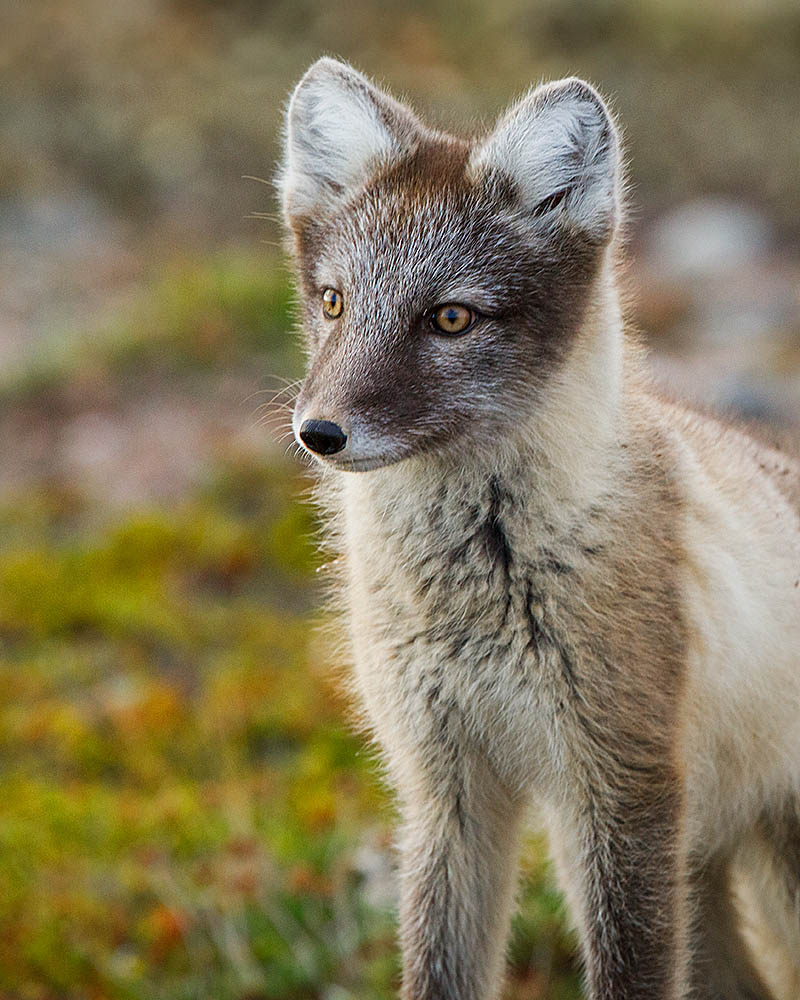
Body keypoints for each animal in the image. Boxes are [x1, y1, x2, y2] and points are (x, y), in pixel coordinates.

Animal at [278, 56, 800, 1000]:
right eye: (333, 303)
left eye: (450, 317)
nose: (319, 433)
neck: (473, 595)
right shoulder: (445, 791)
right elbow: (438, 969)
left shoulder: (625, 788)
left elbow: (629, 976)